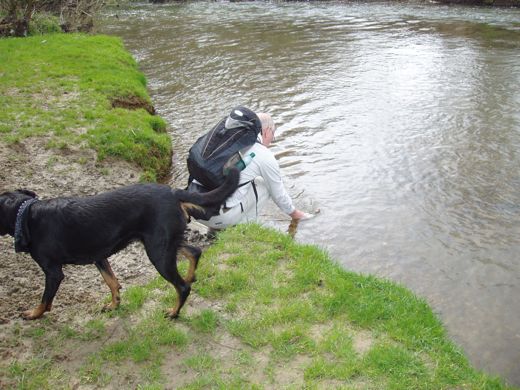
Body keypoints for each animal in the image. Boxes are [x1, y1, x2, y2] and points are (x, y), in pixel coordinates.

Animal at [0, 170, 240, 320]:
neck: (26, 214)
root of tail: (173, 192)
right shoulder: (99, 256)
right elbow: (112, 282)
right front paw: (114, 305)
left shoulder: (53, 272)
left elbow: (44, 299)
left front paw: (33, 314)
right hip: (164, 243)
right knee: (194, 252)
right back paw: (190, 276)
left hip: (158, 251)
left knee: (182, 287)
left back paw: (174, 313)